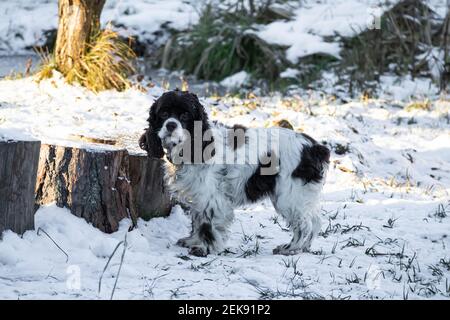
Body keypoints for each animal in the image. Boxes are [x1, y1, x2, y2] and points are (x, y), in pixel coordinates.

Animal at [139, 90, 328, 258]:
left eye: (185, 115)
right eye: (163, 113)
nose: (171, 125)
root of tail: (315, 147)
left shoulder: (211, 198)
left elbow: (207, 224)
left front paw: (204, 249)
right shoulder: (199, 196)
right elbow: (198, 220)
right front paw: (192, 241)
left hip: (289, 197)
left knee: (304, 225)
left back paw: (290, 248)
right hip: (300, 196)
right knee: (315, 222)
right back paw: (303, 248)